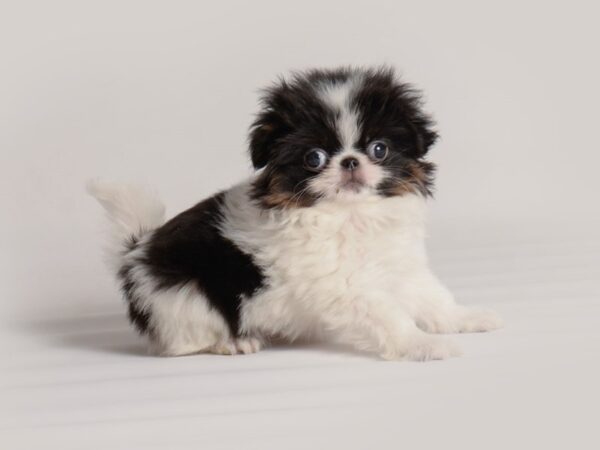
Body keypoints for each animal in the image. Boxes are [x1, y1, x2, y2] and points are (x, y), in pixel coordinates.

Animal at [88, 67, 502, 360]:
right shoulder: (345, 288)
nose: (350, 161)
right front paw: (423, 345)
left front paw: (465, 319)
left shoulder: (401, 266)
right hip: (183, 298)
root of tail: (137, 249)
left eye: (379, 149)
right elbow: (389, 317)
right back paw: (234, 342)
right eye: (314, 158)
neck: (351, 215)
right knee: (178, 344)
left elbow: (434, 298)